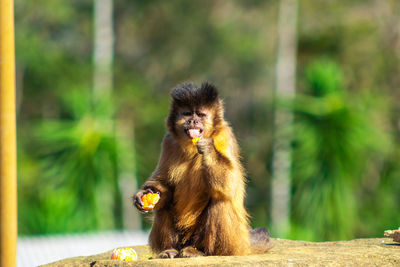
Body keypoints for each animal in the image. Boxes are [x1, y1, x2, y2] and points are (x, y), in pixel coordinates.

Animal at [134, 82, 268, 260]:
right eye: (187, 114)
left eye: (201, 115)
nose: (193, 120)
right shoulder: (168, 141)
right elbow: (164, 184)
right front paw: (144, 194)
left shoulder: (225, 136)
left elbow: (230, 184)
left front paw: (208, 149)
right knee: (164, 204)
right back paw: (170, 249)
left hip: (234, 243)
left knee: (220, 200)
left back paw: (202, 251)